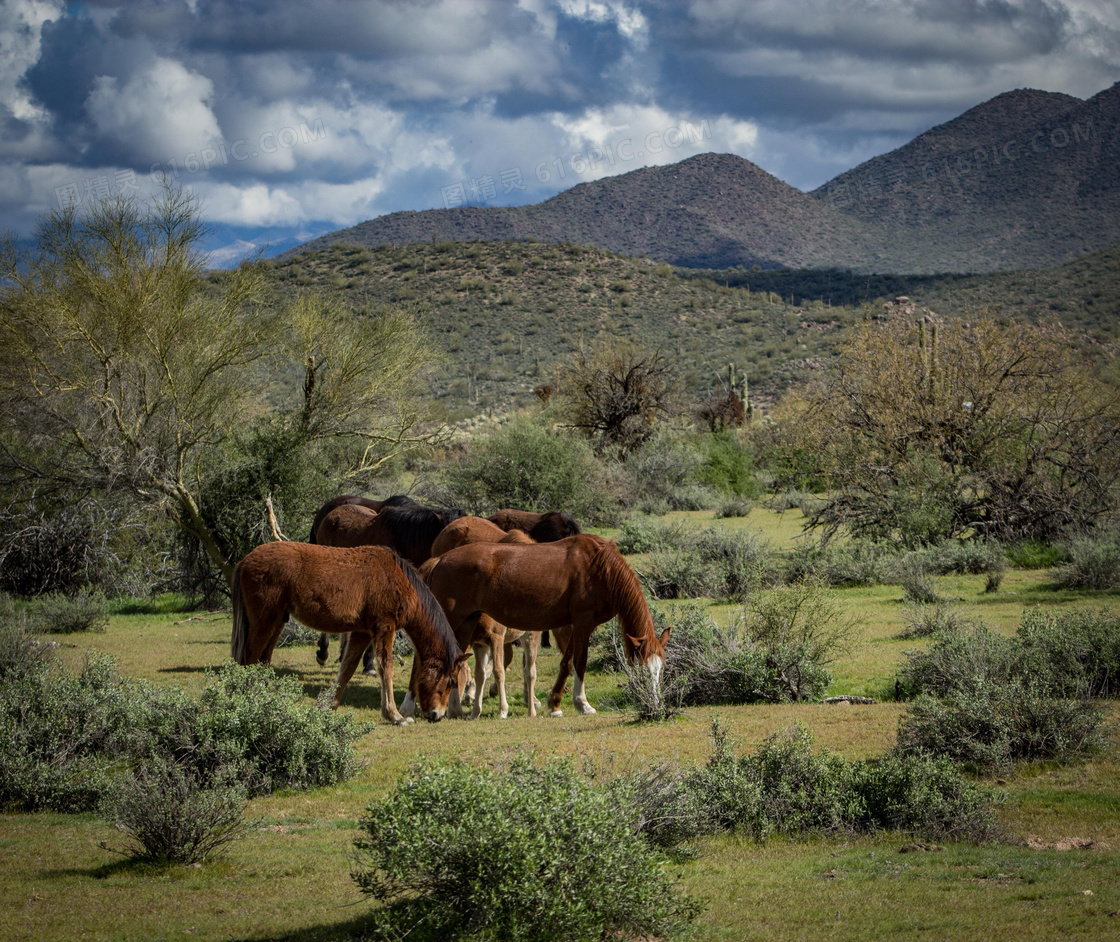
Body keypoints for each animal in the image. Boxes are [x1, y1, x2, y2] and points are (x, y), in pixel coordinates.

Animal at [231, 537, 468, 721]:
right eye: (450, 681)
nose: (437, 715)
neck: (398, 579)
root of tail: (244, 561)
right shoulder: (384, 626)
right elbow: (386, 667)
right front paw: (394, 715)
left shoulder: (362, 632)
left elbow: (347, 669)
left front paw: (329, 706)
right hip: (264, 621)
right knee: (249, 657)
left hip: (277, 621)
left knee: (263, 659)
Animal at [421, 533, 663, 716]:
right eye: (641, 671)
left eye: (660, 670)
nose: (654, 704)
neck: (599, 567)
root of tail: (440, 560)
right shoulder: (583, 623)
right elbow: (580, 662)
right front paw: (583, 704)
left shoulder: (582, 626)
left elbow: (567, 662)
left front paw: (555, 704)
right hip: (452, 620)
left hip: (465, 625)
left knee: (457, 661)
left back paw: (455, 709)